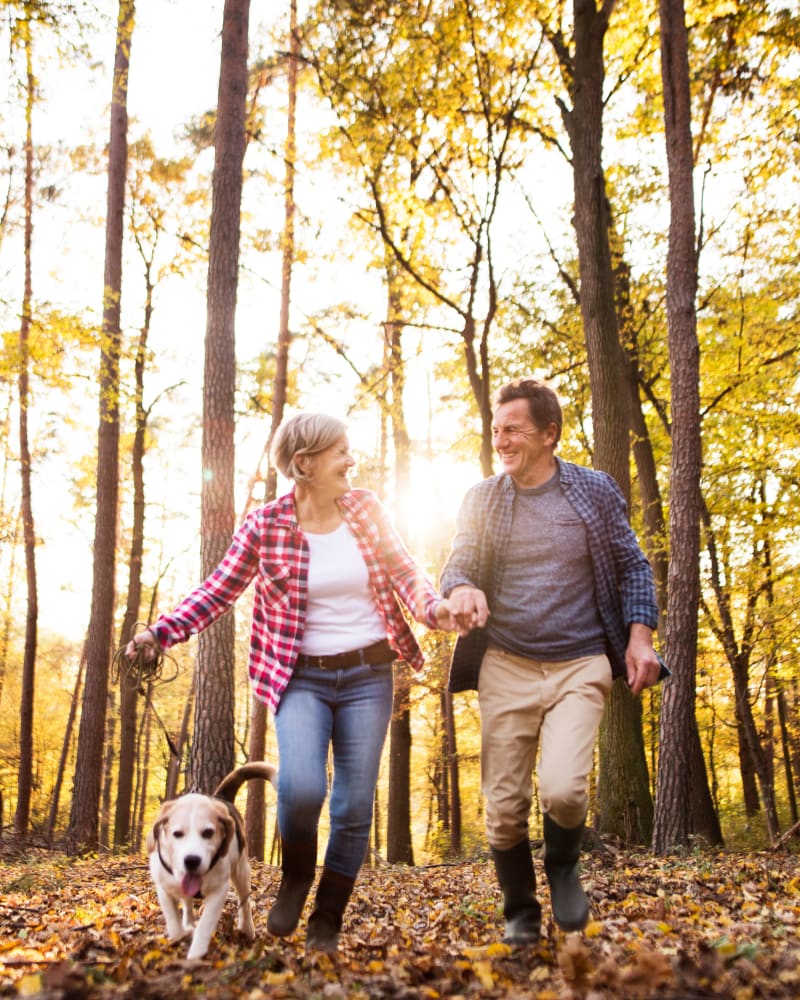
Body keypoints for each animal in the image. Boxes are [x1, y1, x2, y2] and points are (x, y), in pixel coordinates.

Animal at [147, 760, 278, 956]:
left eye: (208, 832)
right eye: (177, 834)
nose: (192, 860)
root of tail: (221, 798)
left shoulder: (218, 891)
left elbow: (205, 926)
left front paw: (195, 955)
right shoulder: (164, 889)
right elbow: (174, 923)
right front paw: (181, 935)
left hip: (241, 871)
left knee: (244, 901)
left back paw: (247, 928)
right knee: (187, 903)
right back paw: (188, 921)